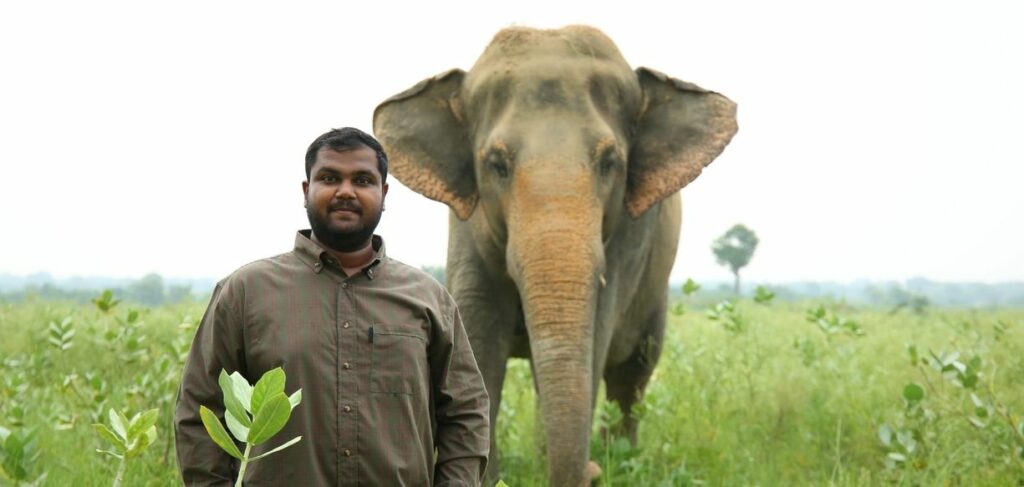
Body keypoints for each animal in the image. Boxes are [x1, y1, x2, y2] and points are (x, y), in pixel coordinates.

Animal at [373, 25, 737, 486]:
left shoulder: (627, 238)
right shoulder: (468, 226)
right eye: (496, 164)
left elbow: (593, 339)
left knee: (633, 370)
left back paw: (621, 458)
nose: (593, 472)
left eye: (610, 162)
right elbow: (478, 333)